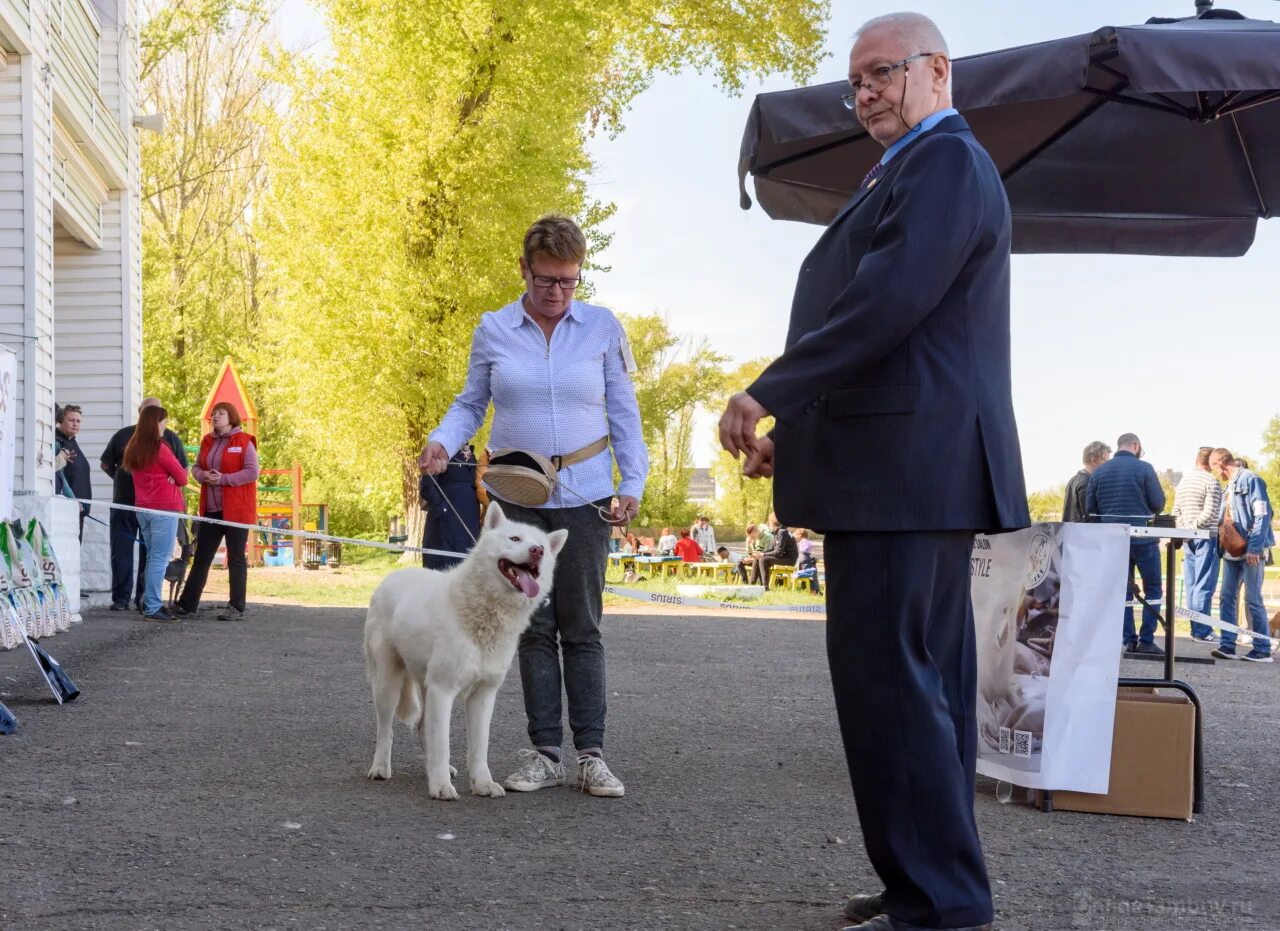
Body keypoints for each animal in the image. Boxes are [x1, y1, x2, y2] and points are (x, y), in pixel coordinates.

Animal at [366, 501, 565, 799]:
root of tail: (390, 577)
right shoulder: (443, 690)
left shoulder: (483, 696)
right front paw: (440, 788)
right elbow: (442, 744)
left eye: (540, 545)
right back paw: (380, 768)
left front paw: (482, 784)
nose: (537, 552)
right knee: (385, 730)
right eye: (515, 538)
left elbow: (478, 749)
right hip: (388, 682)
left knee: (423, 727)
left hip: (424, 683)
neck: (484, 613)